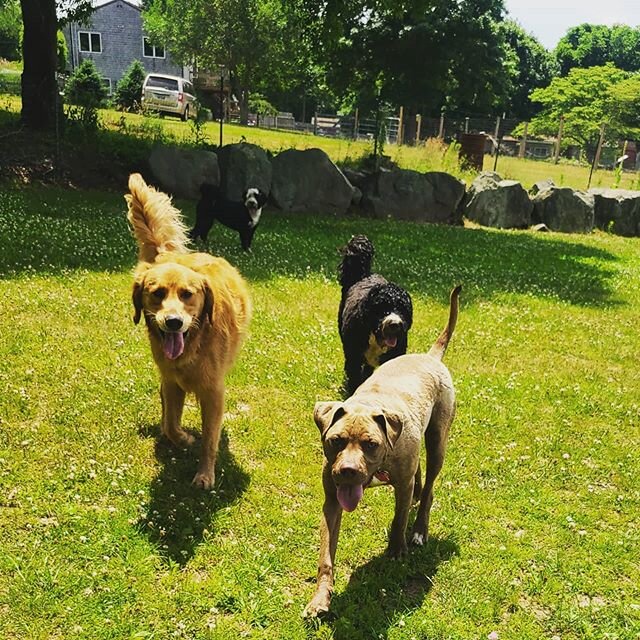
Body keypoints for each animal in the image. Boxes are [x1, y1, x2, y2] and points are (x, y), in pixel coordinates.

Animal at [124, 175, 250, 490]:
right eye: (157, 293)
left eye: (187, 294)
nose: (172, 322)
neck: (196, 340)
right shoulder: (172, 381)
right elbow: (171, 422)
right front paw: (181, 438)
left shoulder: (214, 391)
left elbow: (210, 439)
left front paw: (205, 474)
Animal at [304, 284, 460, 616]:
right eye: (335, 440)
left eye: (371, 444)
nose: (347, 471)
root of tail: (429, 356)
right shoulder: (332, 501)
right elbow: (326, 557)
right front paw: (320, 599)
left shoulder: (400, 482)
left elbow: (400, 518)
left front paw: (397, 549)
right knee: (419, 477)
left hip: (438, 440)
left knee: (429, 488)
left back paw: (419, 529)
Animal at [338, 235, 412, 396]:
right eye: (382, 308)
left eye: (402, 309)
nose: (395, 324)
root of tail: (364, 275)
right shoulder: (354, 358)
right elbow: (354, 379)